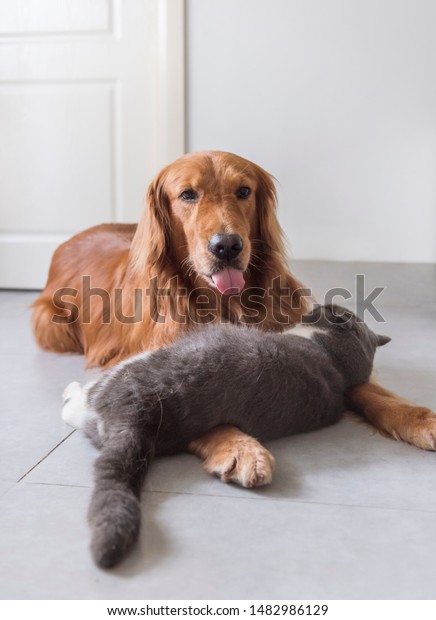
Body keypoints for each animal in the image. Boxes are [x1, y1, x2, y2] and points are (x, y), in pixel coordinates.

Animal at [61, 302, 392, 568]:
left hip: (132, 368)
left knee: (77, 406)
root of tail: (140, 417)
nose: (318, 303)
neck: (334, 361)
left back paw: (71, 393)